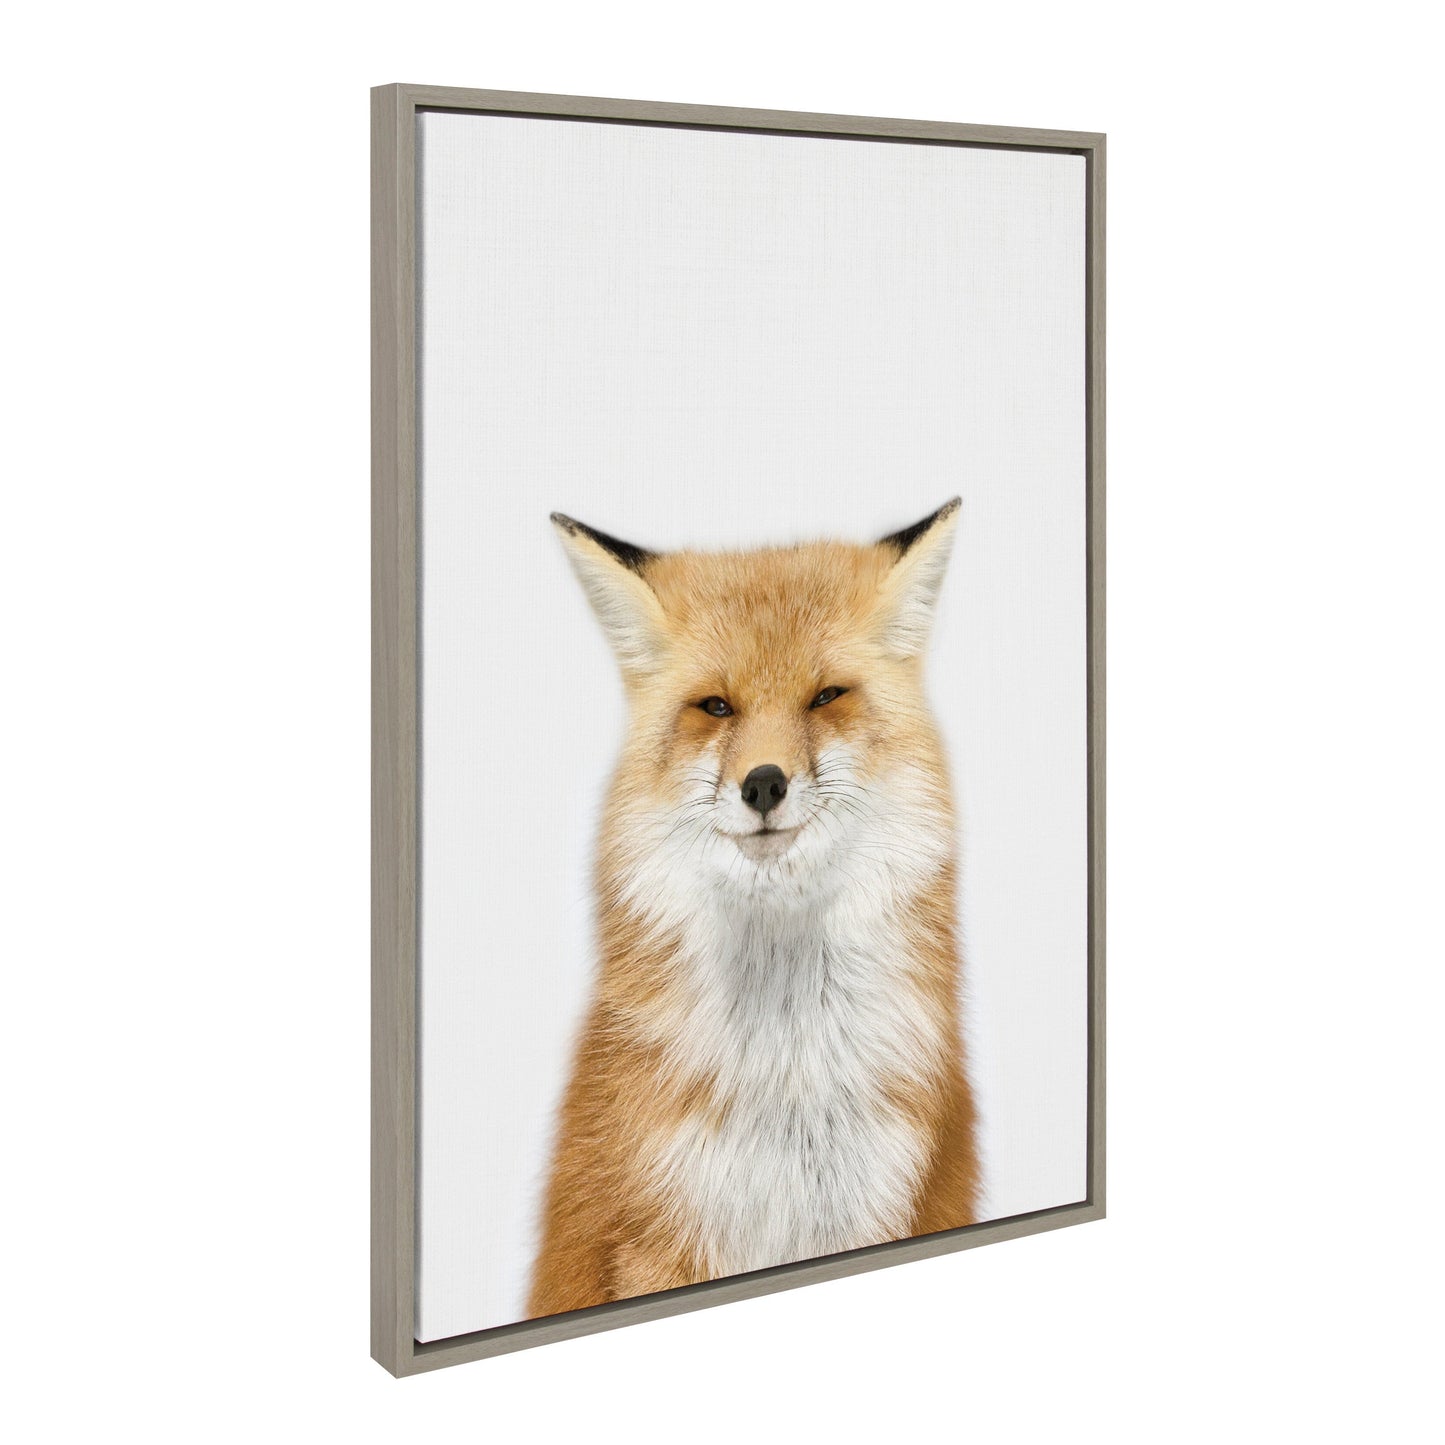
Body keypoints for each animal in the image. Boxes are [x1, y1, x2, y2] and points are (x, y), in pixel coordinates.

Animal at [528, 500, 980, 1317]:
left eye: (826, 696)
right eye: (715, 706)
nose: (763, 783)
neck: (786, 1081)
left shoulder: (884, 1205)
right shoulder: (660, 1232)